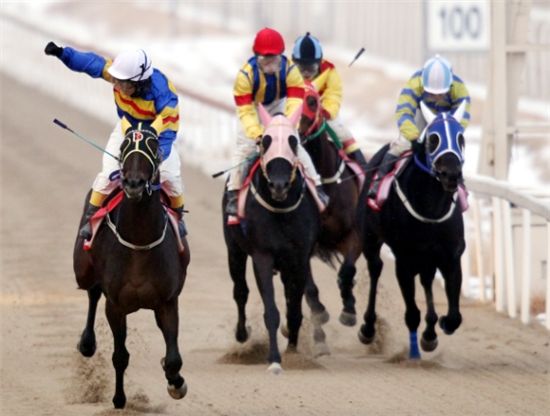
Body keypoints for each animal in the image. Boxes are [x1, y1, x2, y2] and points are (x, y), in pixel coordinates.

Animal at [73, 122, 191, 408]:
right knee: (92, 291)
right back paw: (87, 343)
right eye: (123, 147)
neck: (139, 242)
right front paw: (119, 398)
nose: (134, 183)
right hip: (82, 269)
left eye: (154, 147)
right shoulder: (116, 305)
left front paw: (176, 382)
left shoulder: (167, 302)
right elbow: (120, 355)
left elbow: (174, 358)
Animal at [223, 105, 322, 372]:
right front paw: (275, 359)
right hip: (234, 251)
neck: (281, 209)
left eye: (293, 142)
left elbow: (294, 310)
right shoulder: (262, 256)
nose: (279, 184)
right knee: (240, 291)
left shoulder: (299, 258)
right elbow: (271, 311)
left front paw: (293, 351)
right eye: (265, 141)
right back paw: (241, 334)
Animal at [298, 82, 366, 328]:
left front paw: (349, 310)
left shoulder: (354, 235)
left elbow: (347, 271)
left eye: (312, 101)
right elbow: (307, 284)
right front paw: (319, 310)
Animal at [358, 102, 470, 360]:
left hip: (427, 258)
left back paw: (430, 329)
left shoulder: (450, 257)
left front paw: (439, 326)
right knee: (375, 268)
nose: (451, 174)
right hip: (370, 239)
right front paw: (415, 351)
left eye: (461, 138)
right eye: (433, 139)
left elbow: (455, 317)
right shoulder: (404, 259)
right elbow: (412, 313)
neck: (431, 208)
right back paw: (368, 328)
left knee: (427, 280)